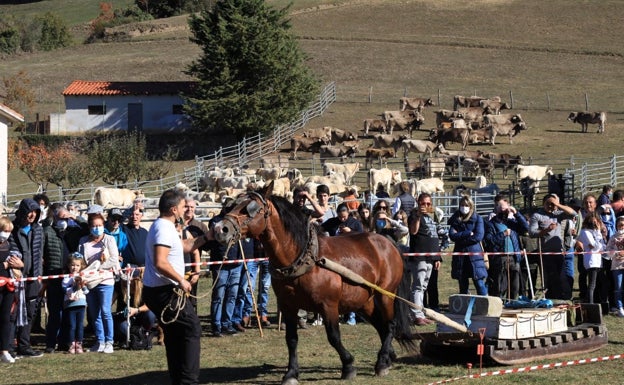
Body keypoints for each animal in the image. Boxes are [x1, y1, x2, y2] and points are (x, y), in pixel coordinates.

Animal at [214, 184, 414, 382]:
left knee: (390, 324)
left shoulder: (328, 305)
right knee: (381, 325)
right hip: (363, 301)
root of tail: (387, 242)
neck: (302, 258)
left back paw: (381, 363)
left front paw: (348, 365)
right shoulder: (288, 306)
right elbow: (291, 338)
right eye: (231, 206)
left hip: (385, 294)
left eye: (250, 209)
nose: (220, 229)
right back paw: (388, 357)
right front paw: (291, 373)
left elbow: (333, 337)